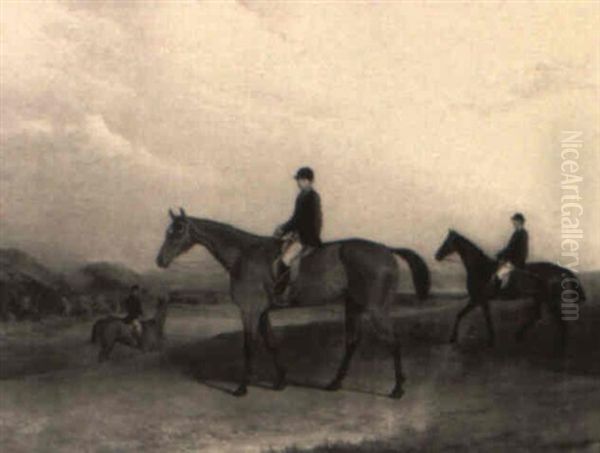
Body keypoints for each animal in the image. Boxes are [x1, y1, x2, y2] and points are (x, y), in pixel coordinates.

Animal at [154, 207, 426, 398]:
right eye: (168, 232)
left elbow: (249, 346)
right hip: (353, 306)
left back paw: (397, 390)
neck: (243, 254)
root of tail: (387, 249)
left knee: (393, 342)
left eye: (178, 232)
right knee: (352, 342)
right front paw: (281, 381)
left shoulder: (249, 311)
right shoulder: (262, 312)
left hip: (376, 309)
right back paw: (335, 383)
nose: (160, 261)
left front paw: (242, 388)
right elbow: (271, 343)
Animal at [436, 228, 584, 352]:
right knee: (538, 316)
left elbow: (463, 315)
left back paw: (560, 348)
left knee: (560, 322)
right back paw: (520, 335)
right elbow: (479, 317)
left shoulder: (477, 299)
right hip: (539, 298)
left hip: (549, 300)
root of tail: (560, 269)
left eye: (447, 242)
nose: (436, 256)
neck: (481, 268)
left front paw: (454, 338)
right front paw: (490, 339)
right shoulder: (481, 300)